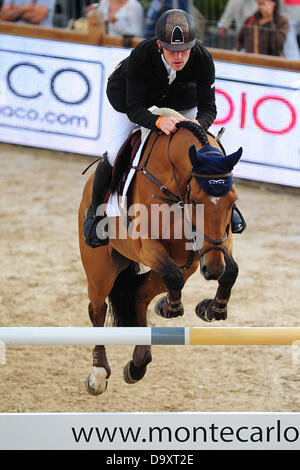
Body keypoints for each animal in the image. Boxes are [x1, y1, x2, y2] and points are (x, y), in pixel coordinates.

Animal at [77, 119, 241, 394]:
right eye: (195, 200)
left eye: (233, 200)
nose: (212, 270)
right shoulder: (147, 245)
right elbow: (174, 276)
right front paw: (173, 307)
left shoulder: (215, 244)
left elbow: (231, 270)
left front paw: (211, 308)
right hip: (101, 270)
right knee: (97, 309)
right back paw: (98, 374)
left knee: (139, 294)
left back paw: (138, 362)